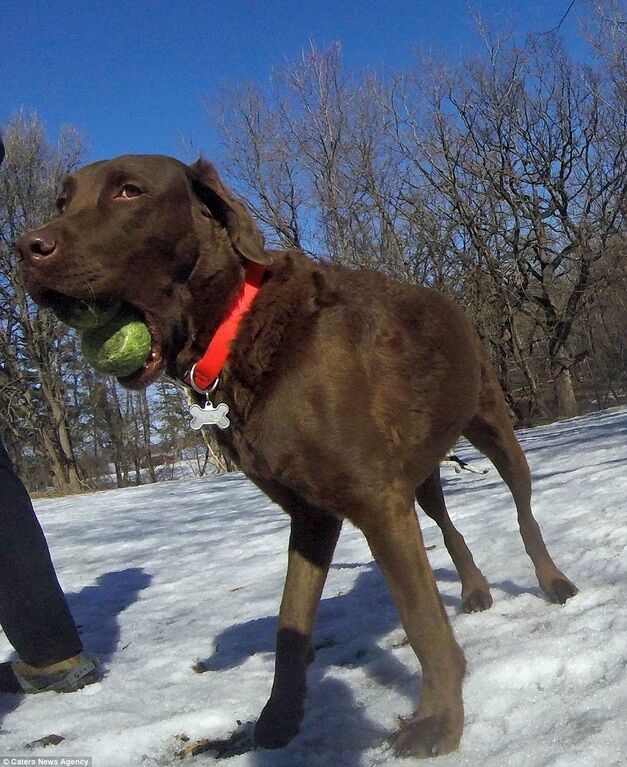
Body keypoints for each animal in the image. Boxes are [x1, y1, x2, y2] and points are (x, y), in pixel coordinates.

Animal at [17, 154, 580, 756]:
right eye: (61, 202)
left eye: (129, 191)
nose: (26, 248)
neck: (239, 332)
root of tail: (444, 296)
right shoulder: (313, 512)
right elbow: (290, 622)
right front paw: (279, 719)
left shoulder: (375, 500)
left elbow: (421, 618)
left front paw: (438, 721)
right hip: (422, 470)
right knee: (447, 523)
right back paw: (474, 590)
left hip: (492, 423)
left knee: (524, 512)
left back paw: (553, 582)